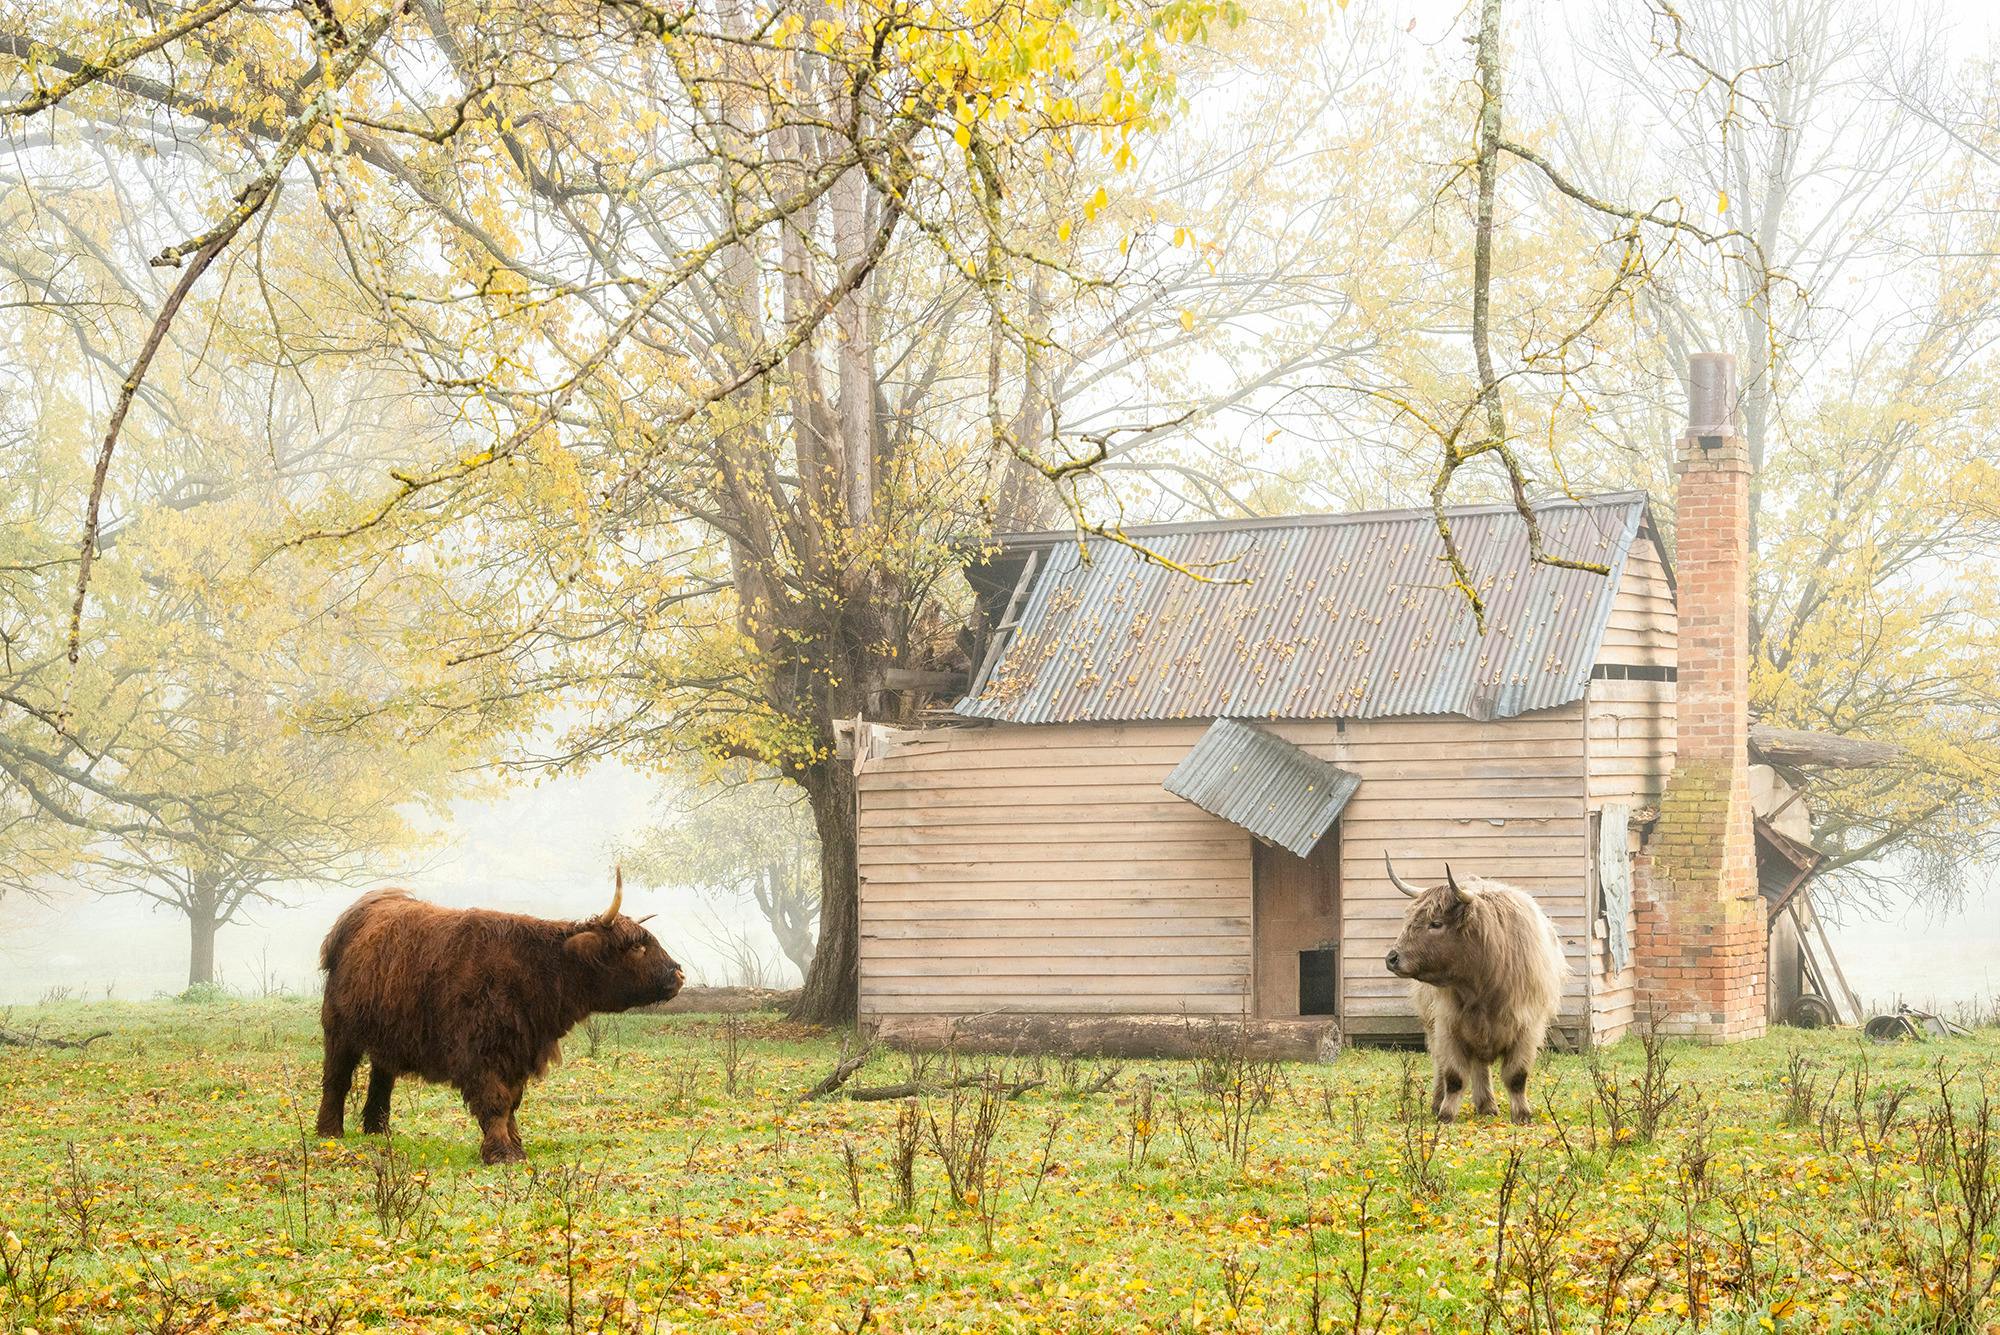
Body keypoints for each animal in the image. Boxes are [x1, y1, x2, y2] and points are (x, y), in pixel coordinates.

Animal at [314, 871, 683, 1163]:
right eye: (636, 947)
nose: (678, 974)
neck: (536, 971)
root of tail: (367, 905)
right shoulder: (480, 1054)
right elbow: (495, 1101)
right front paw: (502, 1153)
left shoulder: (519, 1052)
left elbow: (511, 1103)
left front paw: (516, 1145)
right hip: (338, 1028)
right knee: (337, 1078)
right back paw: (330, 1132)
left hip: (387, 1031)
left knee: (382, 1077)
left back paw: (377, 1131)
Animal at [1382, 856, 1567, 1124]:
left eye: (1435, 923)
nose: (1392, 958)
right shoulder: (1448, 1025)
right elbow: (1454, 1076)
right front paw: (1445, 1115)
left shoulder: (1528, 1027)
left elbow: (1517, 1076)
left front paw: (1522, 1116)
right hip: (1434, 1028)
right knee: (1444, 1065)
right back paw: (1444, 1102)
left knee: (1480, 1065)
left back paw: (1487, 1106)